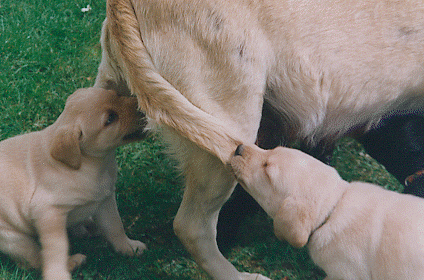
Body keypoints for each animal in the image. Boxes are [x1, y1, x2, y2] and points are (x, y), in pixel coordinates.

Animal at [0, 87, 147, 280]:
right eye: (110, 118)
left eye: (117, 95)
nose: (142, 106)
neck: (89, 163)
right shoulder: (48, 213)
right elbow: (56, 249)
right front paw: (58, 274)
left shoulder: (105, 199)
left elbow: (115, 226)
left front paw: (128, 247)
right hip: (14, 239)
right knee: (33, 258)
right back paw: (73, 261)